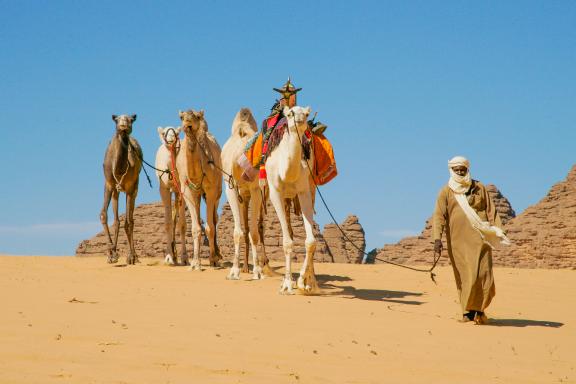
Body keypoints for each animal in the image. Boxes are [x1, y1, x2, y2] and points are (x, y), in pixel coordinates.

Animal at [100, 113, 143, 264]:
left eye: (131, 120)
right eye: (116, 120)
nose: (123, 125)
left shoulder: (130, 188)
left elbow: (128, 223)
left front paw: (131, 257)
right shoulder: (108, 184)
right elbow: (104, 215)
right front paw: (111, 252)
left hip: (135, 188)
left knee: (130, 220)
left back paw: (134, 256)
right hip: (116, 191)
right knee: (117, 219)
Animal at [174, 108, 222, 270]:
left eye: (196, 116)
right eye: (181, 117)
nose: (187, 123)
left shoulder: (211, 190)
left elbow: (210, 227)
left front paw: (213, 259)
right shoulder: (188, 190)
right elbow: (195, 228)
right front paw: (195, 262)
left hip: (217, 191)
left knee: (214, 218)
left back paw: (217, 255)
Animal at [222, 106, 274, 280]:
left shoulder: (256, 190)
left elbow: (254, 232)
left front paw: (257, 270)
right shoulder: (231, 188)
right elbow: (239, 231)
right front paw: (234, 270)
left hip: (262, 194)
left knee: (260, 225)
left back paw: (265, 265)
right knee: (246, 228)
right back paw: (246, 267)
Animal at [264, 105, 318, 294]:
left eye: (307, 114)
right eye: (290, 114)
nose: (300, 120)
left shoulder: (304, 191)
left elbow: (311, 241)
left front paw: (305, 282)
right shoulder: (275, 192)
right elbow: (287, 242)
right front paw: (287, 284)